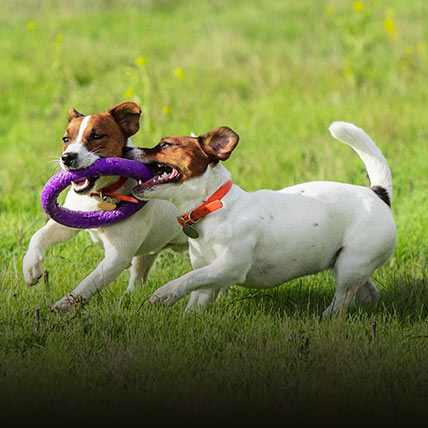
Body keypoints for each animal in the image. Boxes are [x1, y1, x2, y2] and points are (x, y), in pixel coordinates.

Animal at [21, 102, 186, 312]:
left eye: (96, 136)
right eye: (66, 139)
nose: (67, 157)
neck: (101, 194)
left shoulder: (117, 257)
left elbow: (88, 284)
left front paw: (63, 306)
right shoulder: (69, 222)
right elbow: (39, 235)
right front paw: (30, 268)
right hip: (147, 254)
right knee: (138, 277)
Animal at [124, 122, 398, 316]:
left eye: (166, 145)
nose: (126, 148)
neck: (213, 206)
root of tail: (378, 194)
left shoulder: (230, 266)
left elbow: (188, 278)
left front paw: (165, 293)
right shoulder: (207, 273)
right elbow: (197, 290)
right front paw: (187, 317)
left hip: (350, 265)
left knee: (341, 301)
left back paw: (325, 318)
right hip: (350, 265)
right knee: (366, 292)